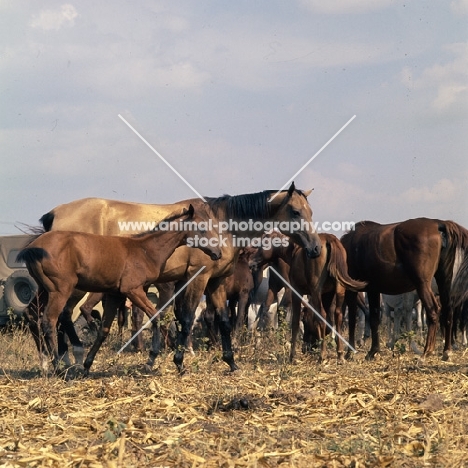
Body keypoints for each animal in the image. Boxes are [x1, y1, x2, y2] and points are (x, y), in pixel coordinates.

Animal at [18, 205, 221, 372]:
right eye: (202, 229)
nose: (217, 253)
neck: (145, 250)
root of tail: (33, 247)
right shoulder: (133, 290)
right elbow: (156, 317)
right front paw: (157, 360)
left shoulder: (115, 295)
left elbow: (104, 329)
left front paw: (87, 365)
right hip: (61, 290)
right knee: (50, 320)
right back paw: (59, 367)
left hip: (45, 289)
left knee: (32, 314)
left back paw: (45, 363)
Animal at [340, 218, 468, 362]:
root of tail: (438, 224)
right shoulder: (374, 289)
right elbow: (374, 318)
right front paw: (373, 350)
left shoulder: (357, 290)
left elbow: (354, 319)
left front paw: (351, 352)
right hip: (444, 282)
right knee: (447, 312)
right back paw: (446, 351)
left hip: (422, 284)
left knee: (433, 310)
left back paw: (427, 351)